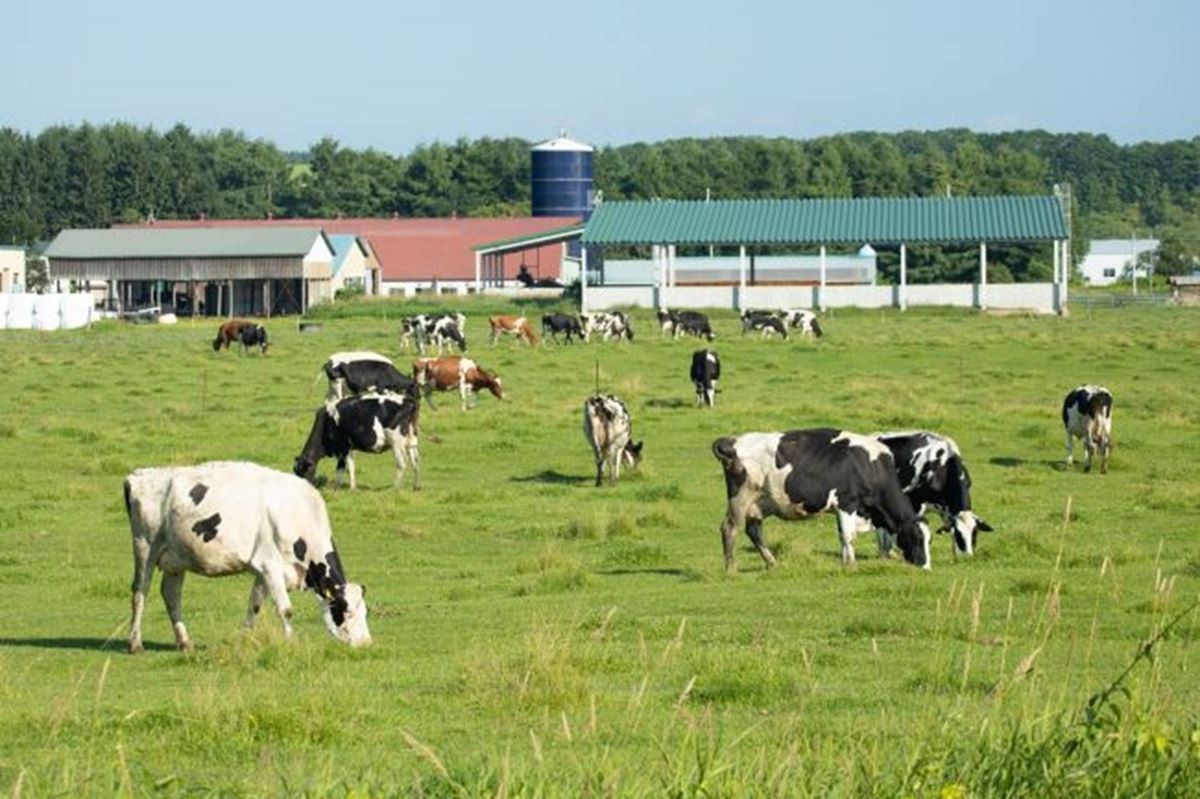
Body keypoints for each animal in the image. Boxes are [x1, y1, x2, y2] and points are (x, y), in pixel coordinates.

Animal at [123, 458, 369, 652]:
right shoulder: (270, 564)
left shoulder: (264, 571)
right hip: (145, 548)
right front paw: (292, 642)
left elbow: (254, 606)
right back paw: (135, 644)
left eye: (365, 612)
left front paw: (244, 640)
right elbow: (286, 609)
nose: (367, 643)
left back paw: (185, 642)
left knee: (171, 595)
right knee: (139, 593)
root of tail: (138, 475)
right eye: (346, 611)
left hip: (176, 559)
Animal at [294, 388, 422, 489]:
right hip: (411, 441)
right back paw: (416, 486)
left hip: (396, 441)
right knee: (415, 461)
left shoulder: (344, 447)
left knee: (401, 463)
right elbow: (346, 467)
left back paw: (394, 487)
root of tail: (408, 400)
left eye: (302, 471)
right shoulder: (347, 448)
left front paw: (346, 488)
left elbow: (345, 467)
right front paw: (344, 487)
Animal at [705, 427, 931, 568]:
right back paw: (731, 568)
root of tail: (734, 441)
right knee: (730, 528)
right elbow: (848, 535)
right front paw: (852, 564)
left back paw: (772, 562)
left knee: (754, 531)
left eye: (929, 539)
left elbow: (843, 535)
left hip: (759, 503)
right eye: (918, 538)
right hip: (740, 497)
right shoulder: (846, 502)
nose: (926, 566)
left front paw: (845, 562)